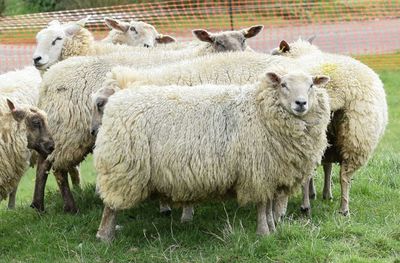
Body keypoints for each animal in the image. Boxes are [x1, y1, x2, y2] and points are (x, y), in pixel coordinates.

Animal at [94, 69, 332, 241]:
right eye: (284, 84)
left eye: (311, 85)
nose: (301, 103)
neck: (259, 110)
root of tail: (119, 97)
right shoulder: (258, 172)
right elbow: (262, 206)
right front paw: (264, 232)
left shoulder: (272, 174)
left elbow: (269, 205)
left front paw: (272, 229)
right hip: (122, 167)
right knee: (110, 206)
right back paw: (105, 236)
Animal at [270, 39, 386, 217]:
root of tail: (339, 89)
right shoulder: (330, 144)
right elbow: (328, 167)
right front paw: (326, 194)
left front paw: (316, 194)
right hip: (358, 135)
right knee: (345, 175)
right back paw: (344, 209)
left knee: (308, 174)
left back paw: (305, 206)